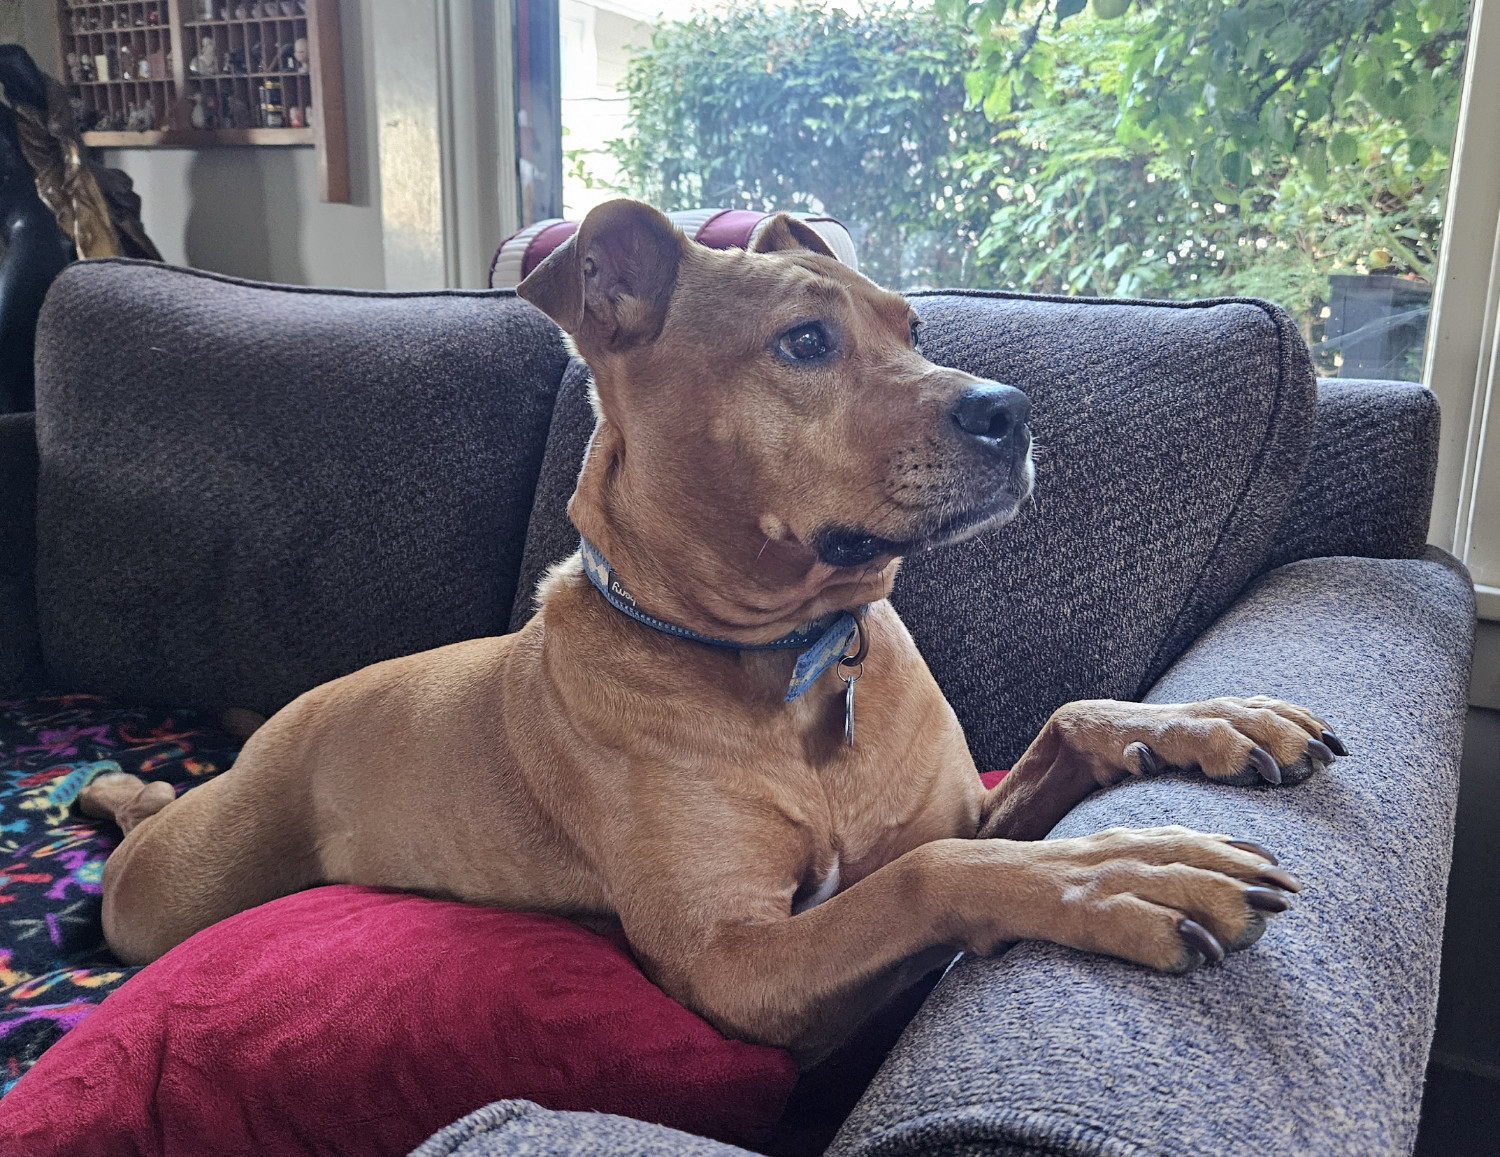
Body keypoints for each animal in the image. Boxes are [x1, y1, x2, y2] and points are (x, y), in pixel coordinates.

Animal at [82, 199, 1338, 1068]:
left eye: (913, 325)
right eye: (804, 343)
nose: (1011, 411)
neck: (793, 657)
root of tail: (284, 717)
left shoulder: (961, 805)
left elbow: (1056, 732)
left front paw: (1209, 720)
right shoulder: (738, 965)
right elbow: (931, 876)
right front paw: (1117, 870)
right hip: (171, 889)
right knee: (138, 841)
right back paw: (112, 786)